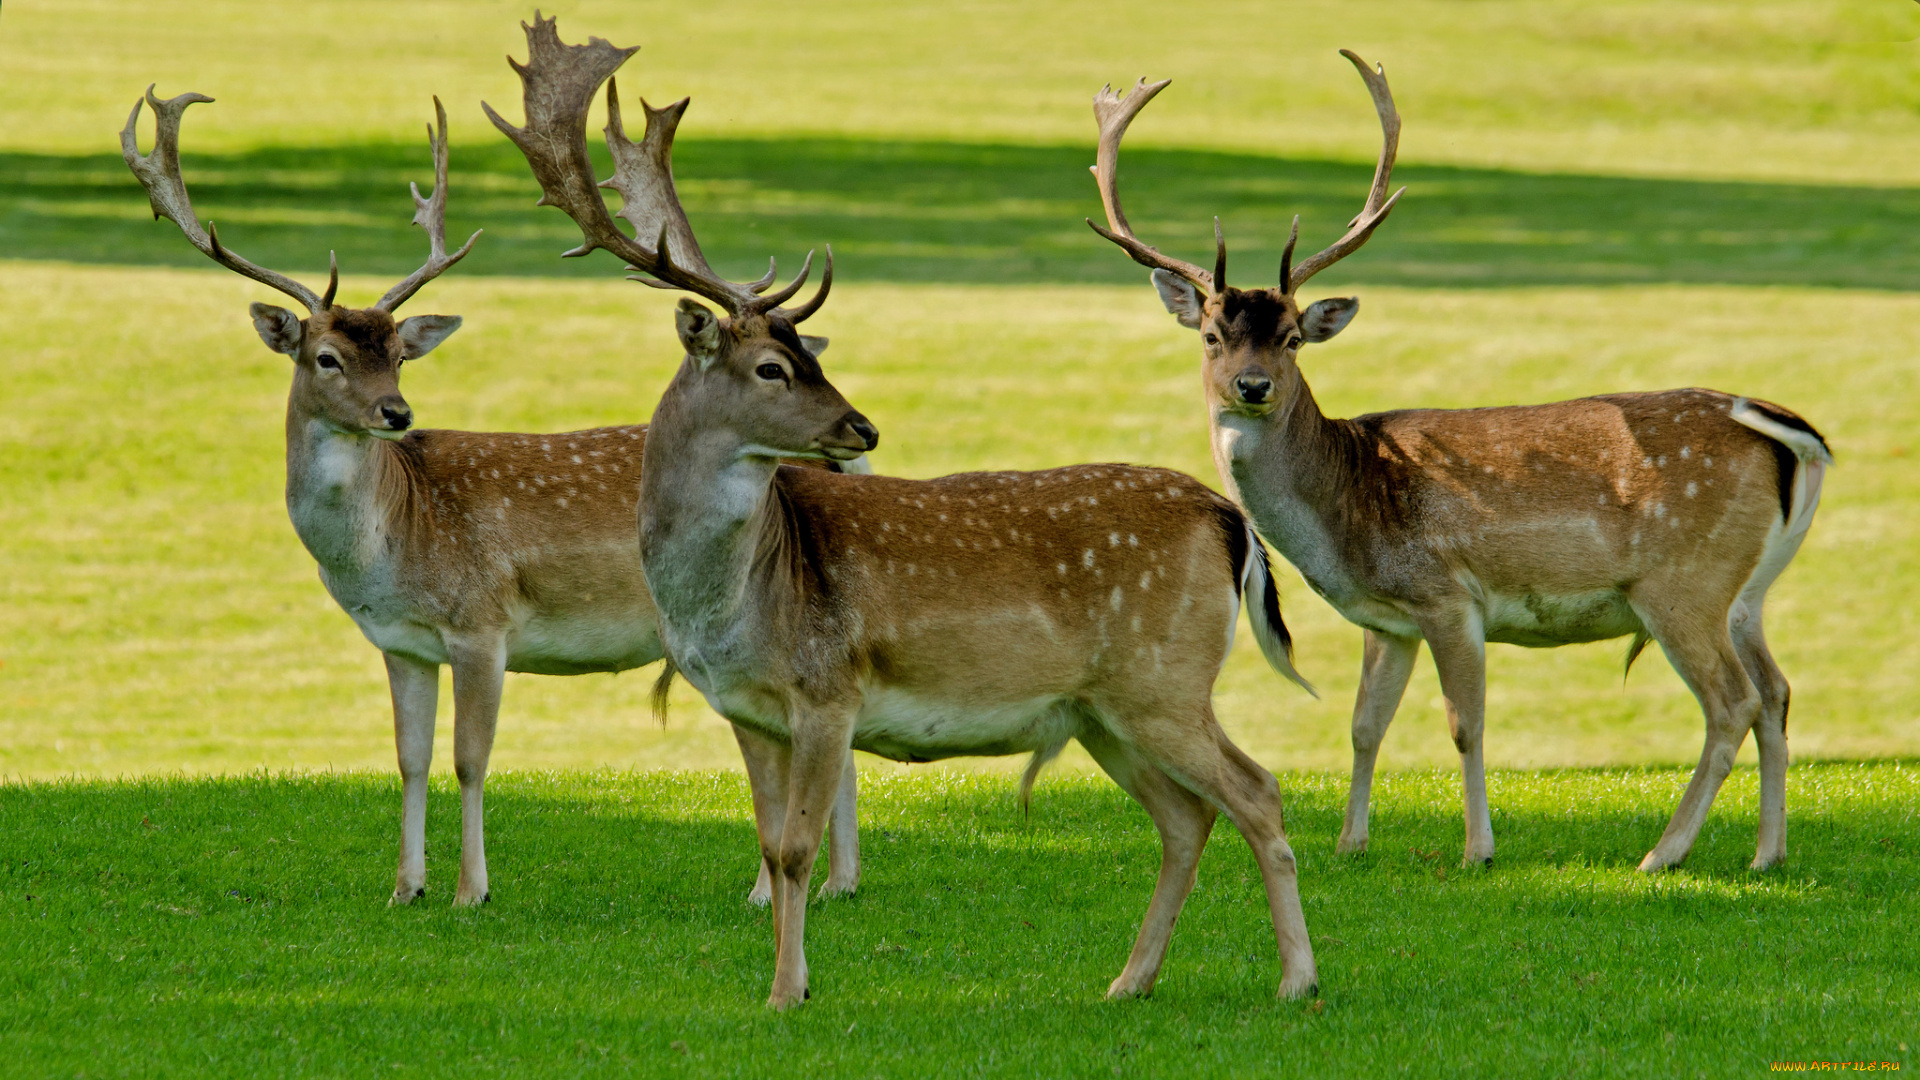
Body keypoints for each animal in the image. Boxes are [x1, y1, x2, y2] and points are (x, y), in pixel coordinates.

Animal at [121, 84, 864, 907]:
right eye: (327, 357)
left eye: (398, 357)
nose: (396, 413)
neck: (391, 542)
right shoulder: (399, 641)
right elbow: (409, 759)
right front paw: (405, 887)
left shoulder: (481, 622)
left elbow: (468, 759)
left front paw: (469, 890)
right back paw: (837, 885)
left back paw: (780, 891)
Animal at [480, 16, 1320, 1006]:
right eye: (774, 366)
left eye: (809, 355)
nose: (862, 426)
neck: (732, 607)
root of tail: (1228, 520)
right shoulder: (746, 710)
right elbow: (768, 845)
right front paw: (786, 981)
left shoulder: (828, 689)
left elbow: (798, 851)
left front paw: (787, 992)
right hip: (1099, 710)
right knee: (1187, 817)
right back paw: (1128, 982)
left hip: (1163, 681)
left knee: (1257, 791)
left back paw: (1297, 982)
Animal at [1098, 52, 1827, 876]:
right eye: (1212, 336)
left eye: (1291, 337)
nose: (1252, 386)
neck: (1348, 512)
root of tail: (1792, 435)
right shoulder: (1389, 619)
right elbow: (1363, 724)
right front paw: (1350, 843)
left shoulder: (1449, 595)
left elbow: (1463, 724)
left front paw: (1479, 849)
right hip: (1746, 591)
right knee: (1777, 691)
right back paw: (1767, 854)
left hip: (1683, 582)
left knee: (1732, 702)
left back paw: (1662, 853)